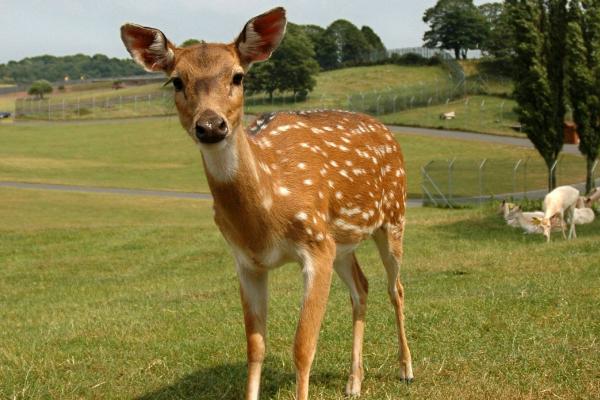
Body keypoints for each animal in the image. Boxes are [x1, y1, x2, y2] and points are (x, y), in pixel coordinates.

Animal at [120, 7, 412, 400]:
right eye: (176, 81)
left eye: (238, 76)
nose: (210, 125)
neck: (267, 216)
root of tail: (387, 130)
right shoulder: (247, 261)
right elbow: (255, 347)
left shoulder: (315, 244)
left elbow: (303, 347)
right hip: (342, 242)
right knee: (361, 288)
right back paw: (354, 382)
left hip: (393, 216)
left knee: (395, 288)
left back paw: (406, 369)